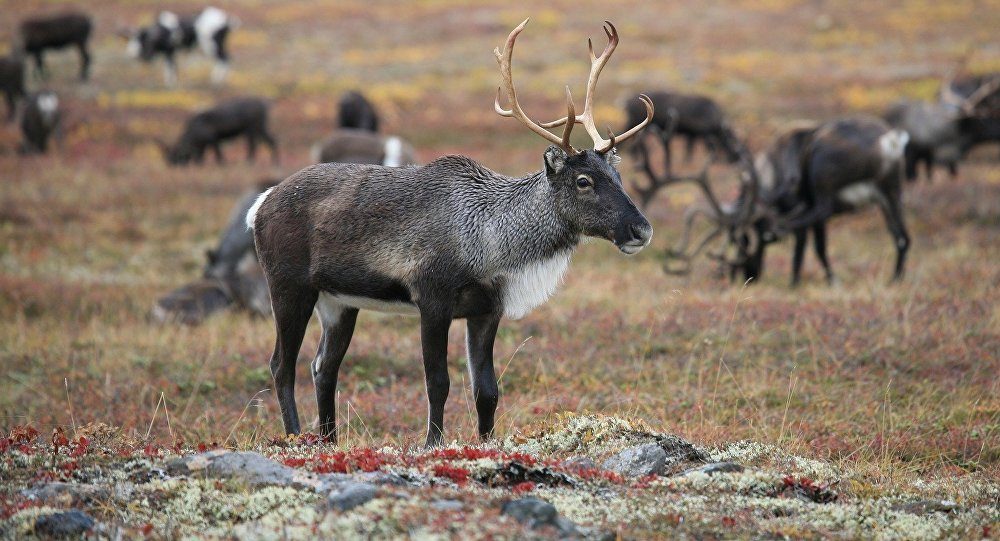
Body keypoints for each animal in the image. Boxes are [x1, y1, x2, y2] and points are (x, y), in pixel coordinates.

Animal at [247, 19, 654, 446]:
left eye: (618, 175)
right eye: (583, 181)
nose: (641, 229)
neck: (489, 240)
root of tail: (260, 204)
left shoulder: (487, 311)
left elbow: (487, 390)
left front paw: (486, 442)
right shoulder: (432, 300)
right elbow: (437, 382)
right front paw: (433, 443)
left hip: (339, 303)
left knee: (323, 367)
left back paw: (328, 441)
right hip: (289, 286)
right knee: (282, 365)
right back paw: (295, 436)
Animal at [665, 116, 911, 286]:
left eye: (744, 240)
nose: (750, 276)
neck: (775, 169)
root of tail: (889, 141)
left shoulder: (797, 205)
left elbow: (806, 247)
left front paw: (797, 282)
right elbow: (819, 247)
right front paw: (829, 279)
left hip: (821, 172)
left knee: (820, 210)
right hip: (890, 192)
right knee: (901, 237)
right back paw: (896, 279)